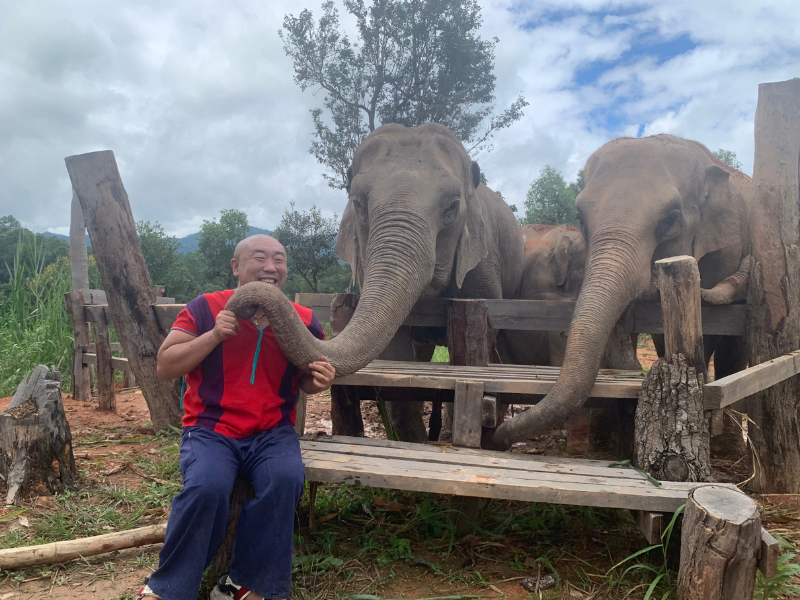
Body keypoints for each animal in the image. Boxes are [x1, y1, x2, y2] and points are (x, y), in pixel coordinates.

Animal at [490, 132, 752, 450]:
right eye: (580, 216)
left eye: (671, 219)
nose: (497, 437)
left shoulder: (726, 247)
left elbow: (715, 329)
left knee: (734, 350)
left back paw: (729, 444)